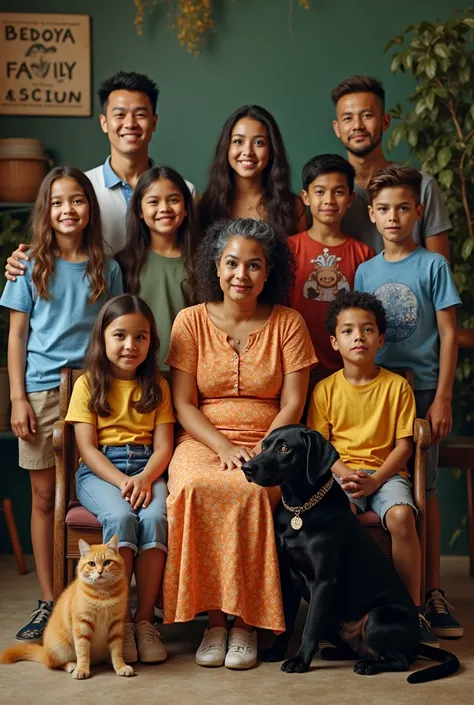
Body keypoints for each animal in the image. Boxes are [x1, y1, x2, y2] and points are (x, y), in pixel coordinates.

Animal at [0, 536, 133, 680]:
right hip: (60, 648)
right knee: (54, 664)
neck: (102, 594)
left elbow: (116, 651)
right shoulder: (82, 624)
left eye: (107, 562)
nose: (100, 571)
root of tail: (45, 651)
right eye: (92, 564)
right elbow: (82, 651)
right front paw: (82, 668)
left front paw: (120, 666)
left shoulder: (116, 625)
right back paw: (72, 665)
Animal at [243, 424, 458, 680]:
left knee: (402, 660)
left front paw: (299, 661)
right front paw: (276, 652)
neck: (299, 508)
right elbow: (286, 621)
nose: (246, 467)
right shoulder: (288, 577)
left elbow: (309, 628)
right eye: (265, 445)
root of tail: (416, 641)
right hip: (333, 618)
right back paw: (335, 653)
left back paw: (368, 665)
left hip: (377, 617)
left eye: (285, 448)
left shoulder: (323, 581)